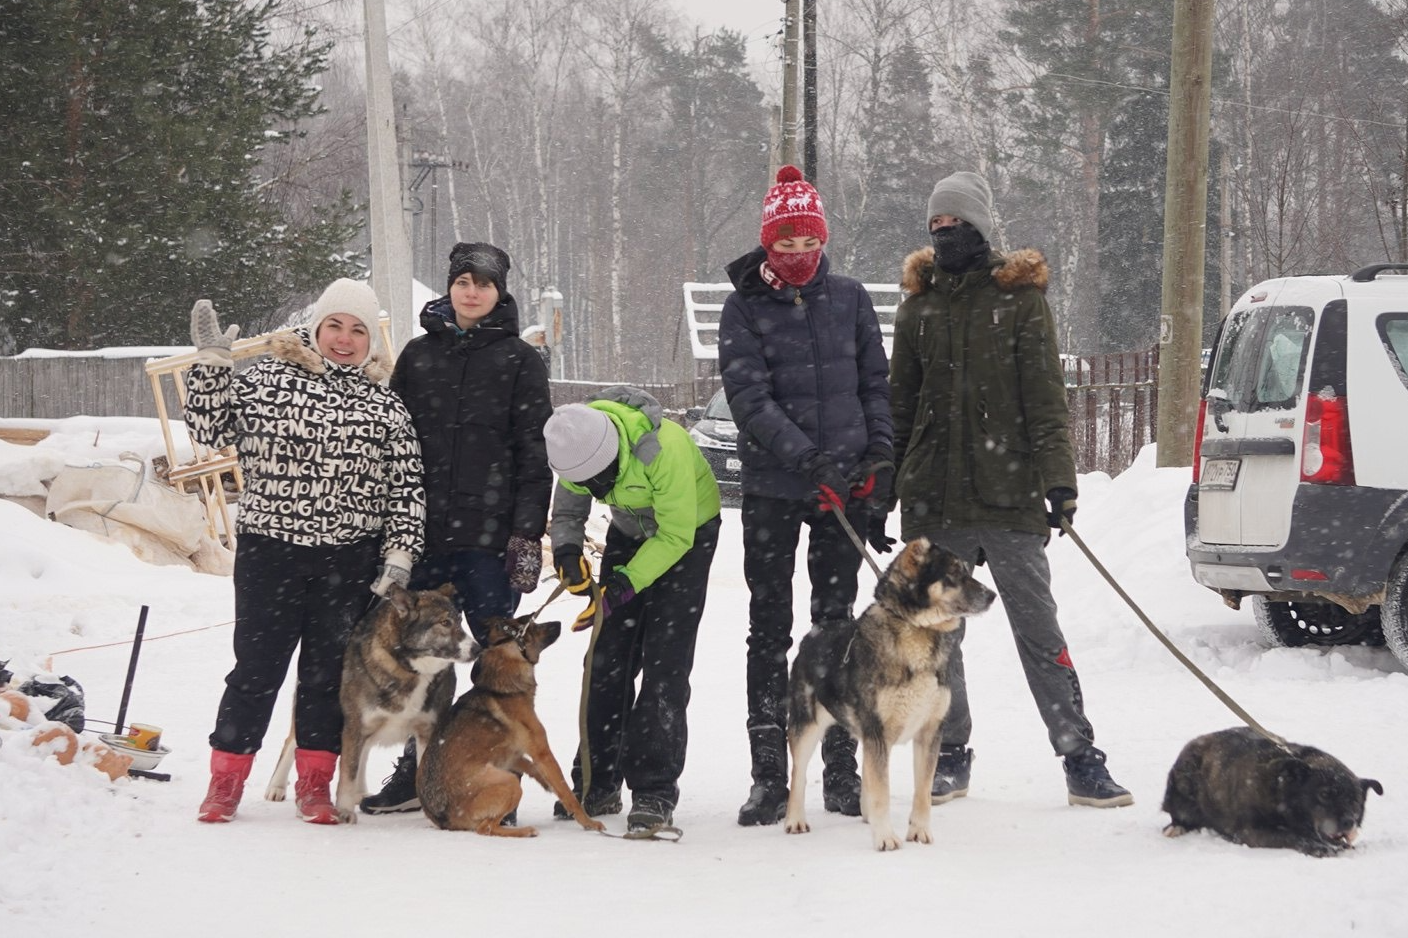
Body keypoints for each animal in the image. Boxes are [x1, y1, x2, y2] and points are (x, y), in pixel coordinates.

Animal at [411, 614, 599, 833]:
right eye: (533, 626)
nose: (558, 623)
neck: (503, 688)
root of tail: (443, 819)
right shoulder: (542, 751)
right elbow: (566, 791)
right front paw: (588, 822)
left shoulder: (513, 754)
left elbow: (532, 767)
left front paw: (544, 781)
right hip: (509, 783)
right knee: (486, 828)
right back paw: (525, 831)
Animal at [782, 532, 1002, 845]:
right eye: (953, 574)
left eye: (966, 570)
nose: (992, 595)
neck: (918, 630)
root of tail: (813, 634)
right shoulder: (877, 731)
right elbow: (881, 791)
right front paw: (885, 838)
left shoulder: (929, 731)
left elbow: (922, 791)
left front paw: (919, 832)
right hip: (806, 726)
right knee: (798, 774)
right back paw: (795, 820)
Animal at [1160, 721, 1379, 856]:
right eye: (1324, 794)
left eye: (1355, 801)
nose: (1348, 822)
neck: (1280, 788)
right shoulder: (1250, 832)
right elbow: (1290, 835)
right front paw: (1318, 848)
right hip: (1184, 778)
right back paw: (1176, 827)